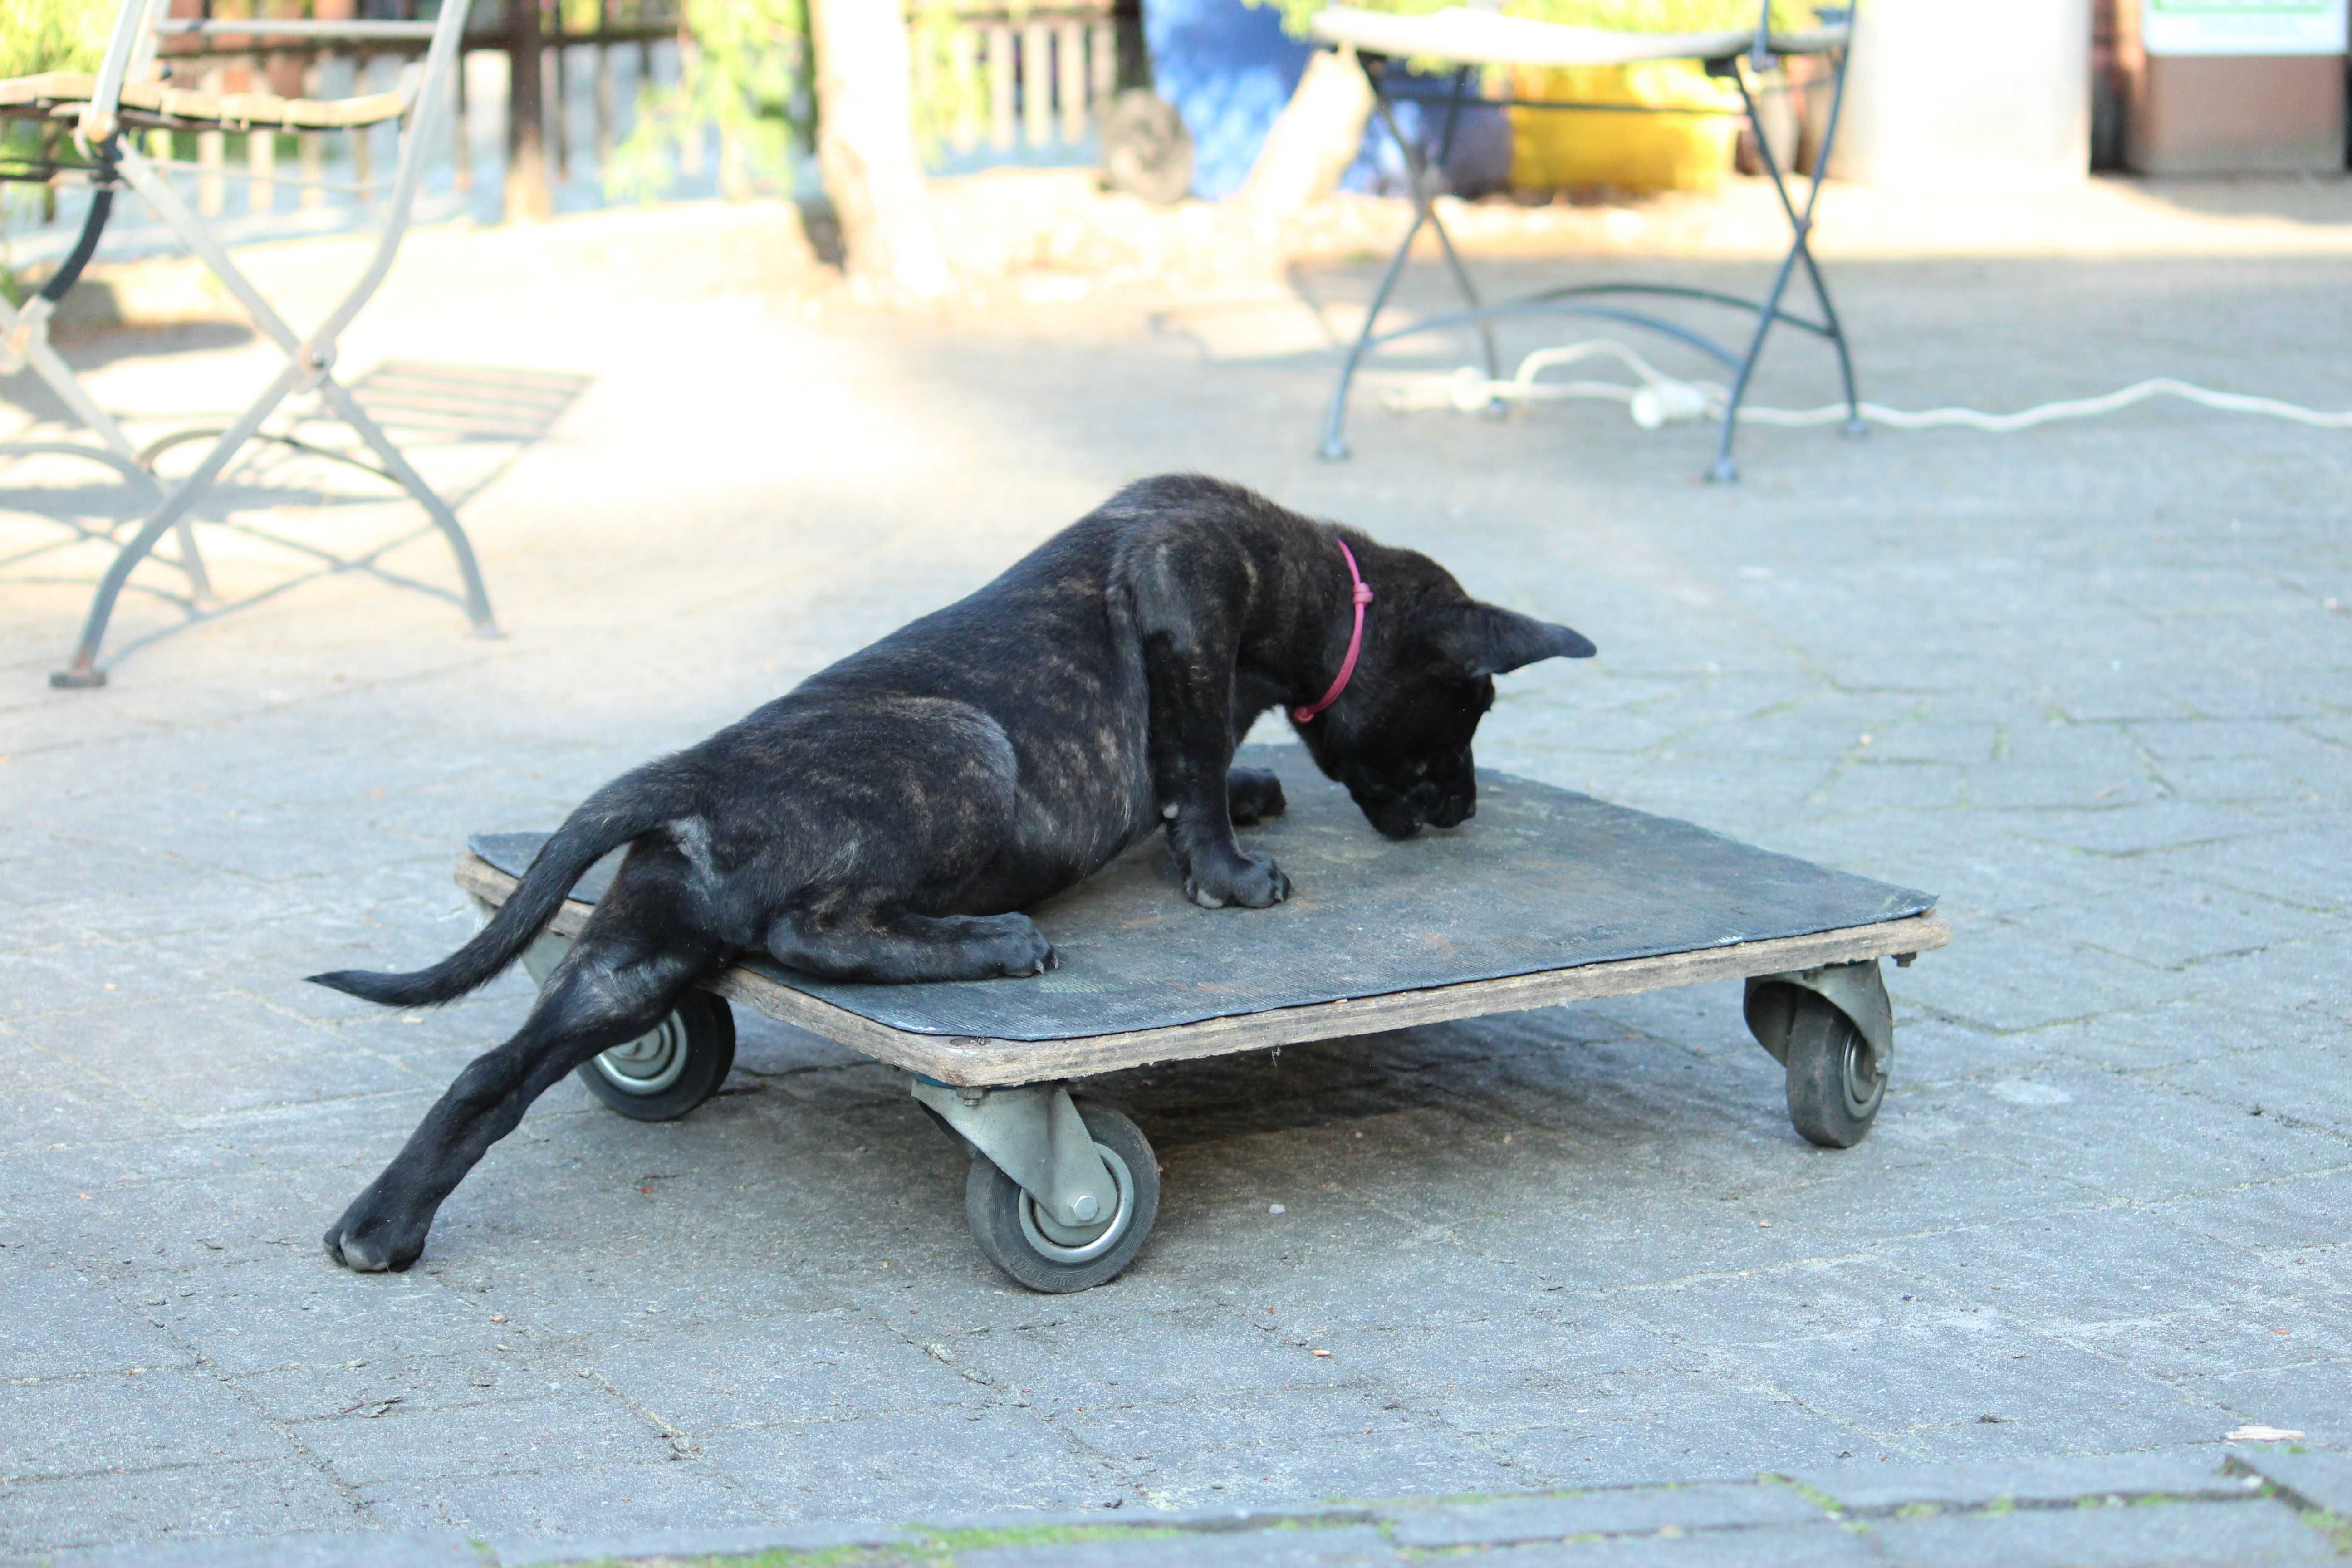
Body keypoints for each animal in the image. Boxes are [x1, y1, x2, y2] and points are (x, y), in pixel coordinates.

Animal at [313, 472, 1599, 1269]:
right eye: (1466, 712)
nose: (1460, 810)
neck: (1317, 587)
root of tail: (696, 774)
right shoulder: (1185, 599)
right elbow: (1186, 754)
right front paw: (1230, 869)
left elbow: (1193, 766)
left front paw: (1245, 797)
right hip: (965, 752)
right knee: (814, 932)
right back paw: (995, 940)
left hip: (634, 956)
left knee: (494, 1069)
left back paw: (382, 1223)